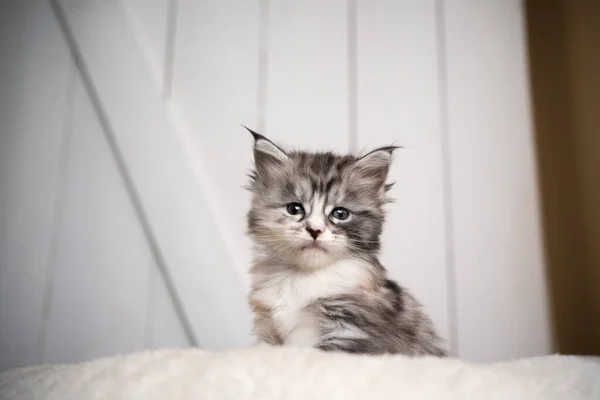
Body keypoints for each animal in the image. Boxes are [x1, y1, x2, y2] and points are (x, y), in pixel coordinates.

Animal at [244, 129, 446, 356]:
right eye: (295, 209)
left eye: (340, 213)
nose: (315, 230)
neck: (304, 277)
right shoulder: (269, 332)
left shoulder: (350, 331)